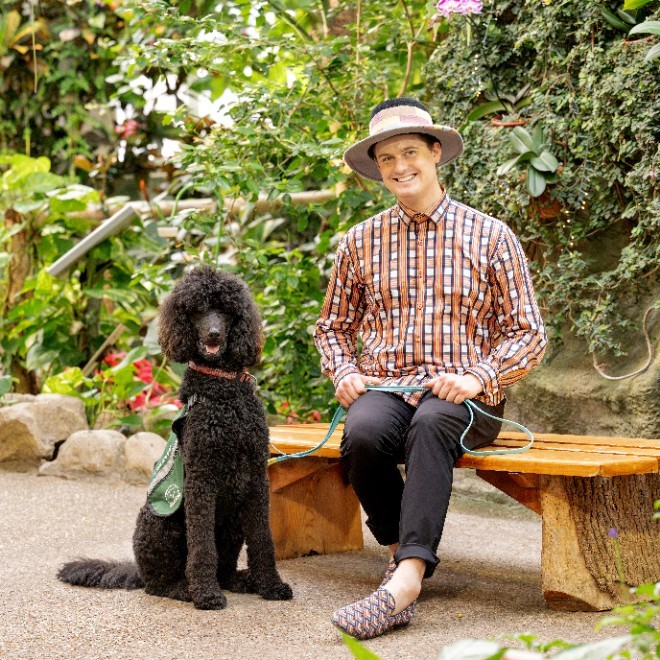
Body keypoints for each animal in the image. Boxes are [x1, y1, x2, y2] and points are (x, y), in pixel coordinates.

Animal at [58, 266, 293, 609]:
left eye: (225, 310)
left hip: (233, 518)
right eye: (197, 311)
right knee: (158, 585)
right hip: (160, 523)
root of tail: (138, 571)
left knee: (224, 567)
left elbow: (264, 539)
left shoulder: (255, 479)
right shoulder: (201, 481)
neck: (223, 393)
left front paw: (271, 586)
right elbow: (202, 546)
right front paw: (206, 594)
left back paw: (240, 580)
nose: (213, 334)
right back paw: (185, 589)